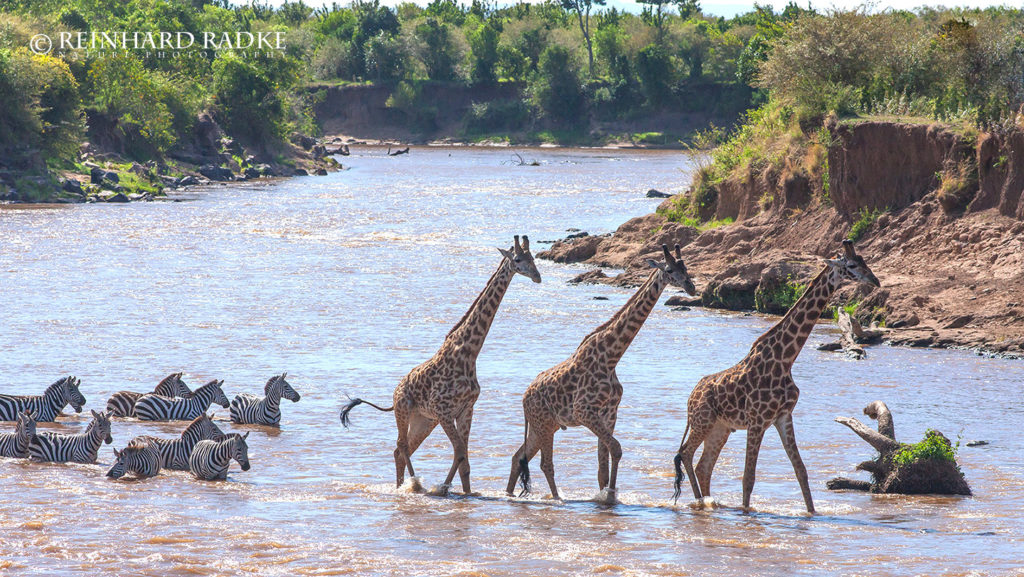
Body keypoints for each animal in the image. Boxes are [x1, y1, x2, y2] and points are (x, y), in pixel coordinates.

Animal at [509, 243, 700, 502]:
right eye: (669, 269)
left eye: (686, 267)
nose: (691, 287)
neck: (611, 358)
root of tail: (524, 398)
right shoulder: (583, 412)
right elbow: (616, 449)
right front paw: (609, 496)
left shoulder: (609, 414)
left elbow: (605, 463)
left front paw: (608, 496)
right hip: (544, 423)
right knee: (544, 464)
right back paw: (557, 499)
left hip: (545, 426)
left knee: (518, 457)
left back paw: (509, 494)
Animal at [671, 240, 880, 514]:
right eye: (853, 265)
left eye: (865, 262)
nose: (875, 281)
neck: (786, 358)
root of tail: (690, 396)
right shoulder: (758, 420)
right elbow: (748, 477)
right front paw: (746, 513)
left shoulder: (783, 416)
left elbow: (801, 471)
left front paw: (812, 513)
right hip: (702, 421)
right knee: (685, 453)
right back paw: (699, 502)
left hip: (720, 428)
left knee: (703, 466)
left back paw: (708, 502)